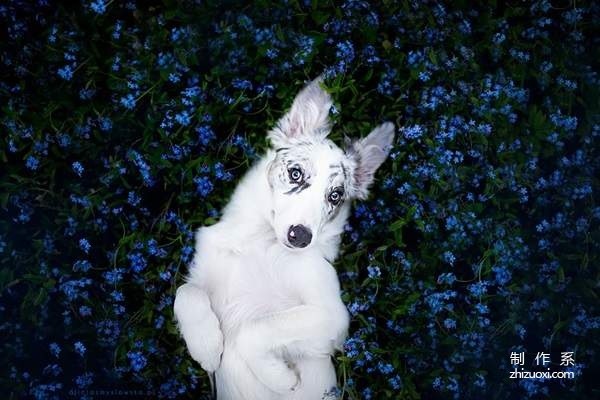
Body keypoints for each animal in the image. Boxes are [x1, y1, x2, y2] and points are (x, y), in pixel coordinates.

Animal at [173, 79, 394, 400]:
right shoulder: (204, 273)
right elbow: (185, 292)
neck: (260, 241)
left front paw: (277, 378)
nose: (300, 237)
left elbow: (254, 330)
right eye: (295, 173)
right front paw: (206, 346)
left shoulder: (333, 315)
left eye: (335, 195)